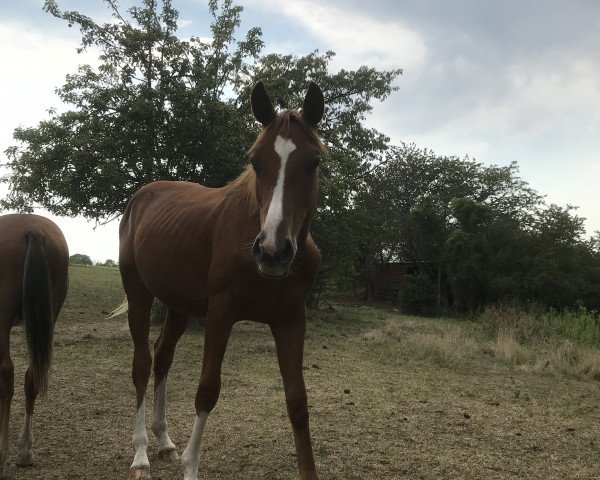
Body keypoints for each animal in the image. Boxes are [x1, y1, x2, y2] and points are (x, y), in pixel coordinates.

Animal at [0, 213, 69, 476]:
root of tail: (33, 228)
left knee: (6, 374)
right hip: (50, 313)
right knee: (32, 376)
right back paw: (24, 450)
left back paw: (3, 453)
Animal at [119, 82, 326, 480]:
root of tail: (141, 197)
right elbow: (207, 390)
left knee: (162, 357)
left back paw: (164, 441)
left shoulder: (290, 319)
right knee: (141, 365)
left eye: (314, 162)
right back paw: (140, 455)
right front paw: (190, 465)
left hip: (178, 307)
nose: (273, 251)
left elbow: (298, 402)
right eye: (255, 161)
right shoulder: (221, 313)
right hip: (138, 296)